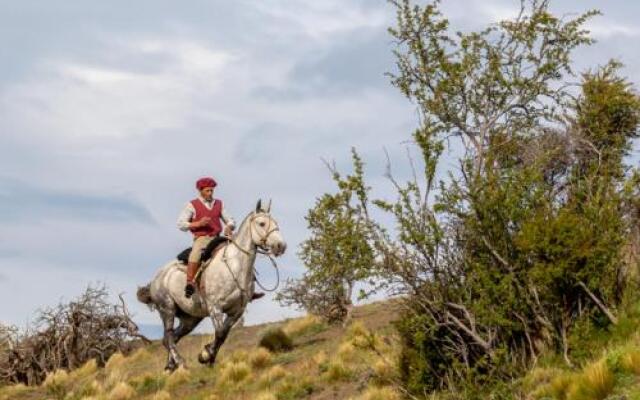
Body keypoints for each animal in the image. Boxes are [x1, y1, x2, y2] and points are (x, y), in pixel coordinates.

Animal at [139, 200, 286, 372]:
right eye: (261, 223)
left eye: (276, 223)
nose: (281, 246)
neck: (235, 266)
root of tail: (157, 278)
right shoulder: (215, 307)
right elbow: (220, 332)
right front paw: (205, 355)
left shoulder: (236, 311)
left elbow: (222, 336)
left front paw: (209, 358)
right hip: (167, 309)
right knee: (168, 337)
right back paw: (181, 364)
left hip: (190, 319)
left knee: (172, 337)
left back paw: (170, 366)